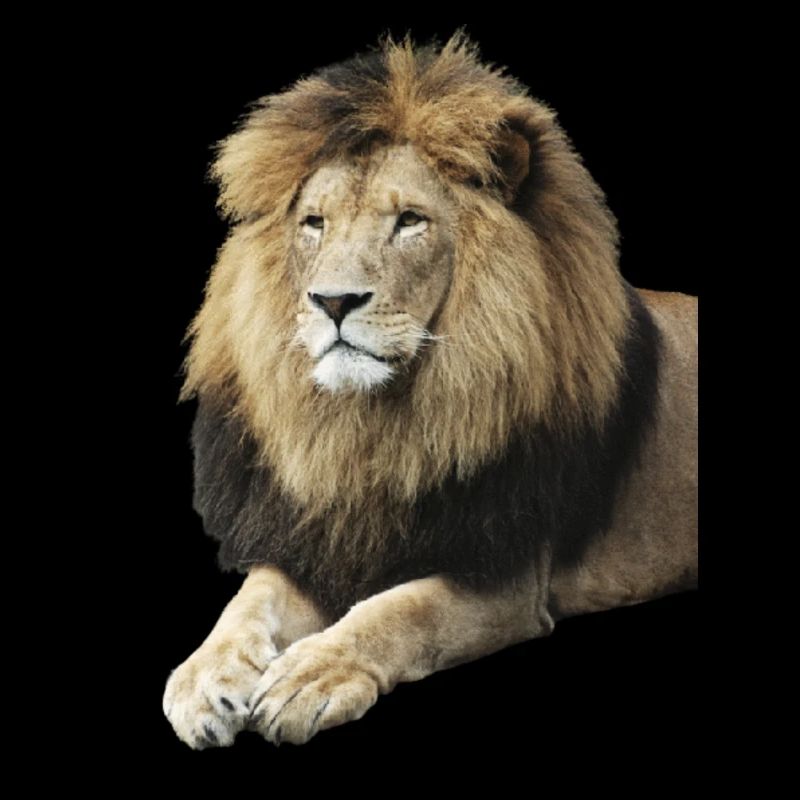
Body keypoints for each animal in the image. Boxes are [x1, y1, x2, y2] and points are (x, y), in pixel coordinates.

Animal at [162, 32, 698, 749]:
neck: (375, 426)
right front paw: (203, 678)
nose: (333, 301)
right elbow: (249, 600)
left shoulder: (505, 572)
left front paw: (310, 676)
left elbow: (397, 612)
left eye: (410, 222)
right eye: (314, 224)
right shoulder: (320, 537)